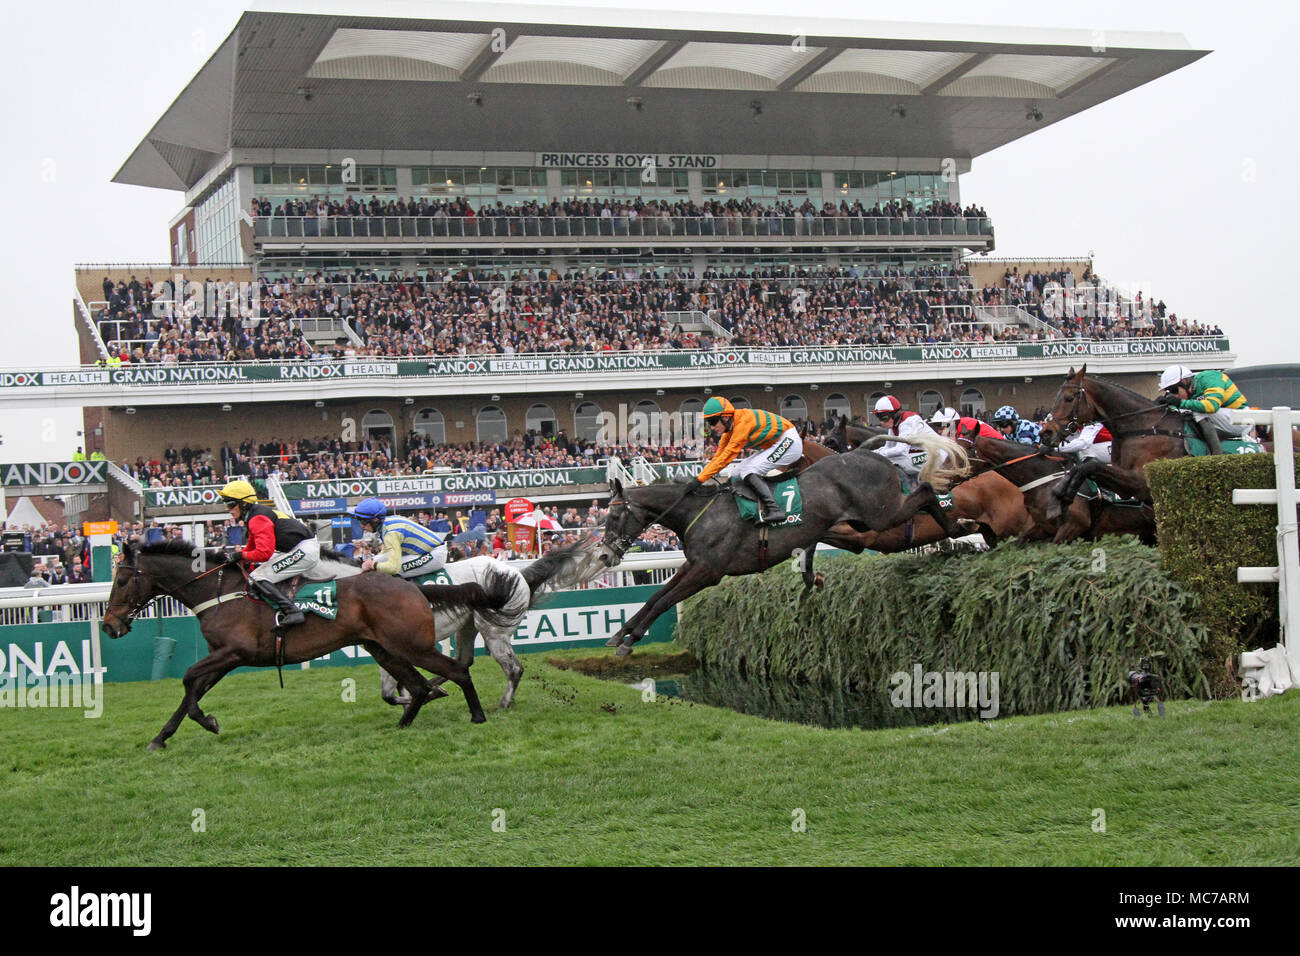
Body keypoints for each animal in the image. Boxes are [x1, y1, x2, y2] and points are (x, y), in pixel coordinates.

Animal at [102, 541, 517, 749]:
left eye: (121, 581)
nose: (108, 627)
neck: (218, 592)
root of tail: (413, 586)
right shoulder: (223, 657)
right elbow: (192, 689)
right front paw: (163, 737)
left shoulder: (233, 652)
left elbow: (188, 679)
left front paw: (206, 721)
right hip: (383, 648)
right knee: (417, 687)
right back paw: (401, 726)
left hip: (411, 645)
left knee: (455, 671)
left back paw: (478, 715)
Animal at [595, 434, 967, 655]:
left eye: (613, 517)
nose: (603, 554)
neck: (699, 512)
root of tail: (868, 454)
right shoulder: (692, 564)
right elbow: (656, 596)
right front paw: (622, 633)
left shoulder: (708, 571)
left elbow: (664, 600)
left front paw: (628, 640)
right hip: (866, 521)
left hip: (882, 515)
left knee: (926, 491)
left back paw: (959, 526)